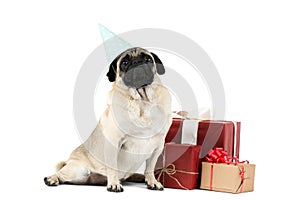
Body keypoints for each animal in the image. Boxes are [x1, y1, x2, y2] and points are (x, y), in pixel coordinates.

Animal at [43, 47, 172, 192]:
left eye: (148, 59)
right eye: (124, 63)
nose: (137, 62)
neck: (142, 102)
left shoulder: (158, 146)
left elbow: (150, 168)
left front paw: (152, 181)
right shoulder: (113, 142)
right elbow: (113, 168)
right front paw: (114, 184)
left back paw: (139, 177)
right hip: (76, 170)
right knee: (61, 174)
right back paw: (51, 178)